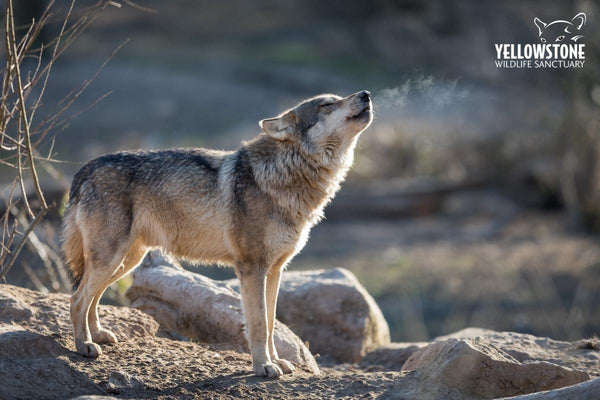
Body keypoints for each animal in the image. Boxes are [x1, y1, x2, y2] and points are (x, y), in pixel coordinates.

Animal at [61, 90, 370, 378]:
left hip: (126, 261)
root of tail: (85, 169)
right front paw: (264, 367)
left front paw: (277, 362)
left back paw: (98, 335)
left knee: (92, 297)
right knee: (77, 299)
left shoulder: (275, 270)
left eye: (338, 98)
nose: (365, 94)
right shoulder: (251, 269)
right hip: (111, 259)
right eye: (327, 105)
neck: (284, 174)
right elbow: (259, 325)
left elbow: (271, 324)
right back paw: (84, 346)